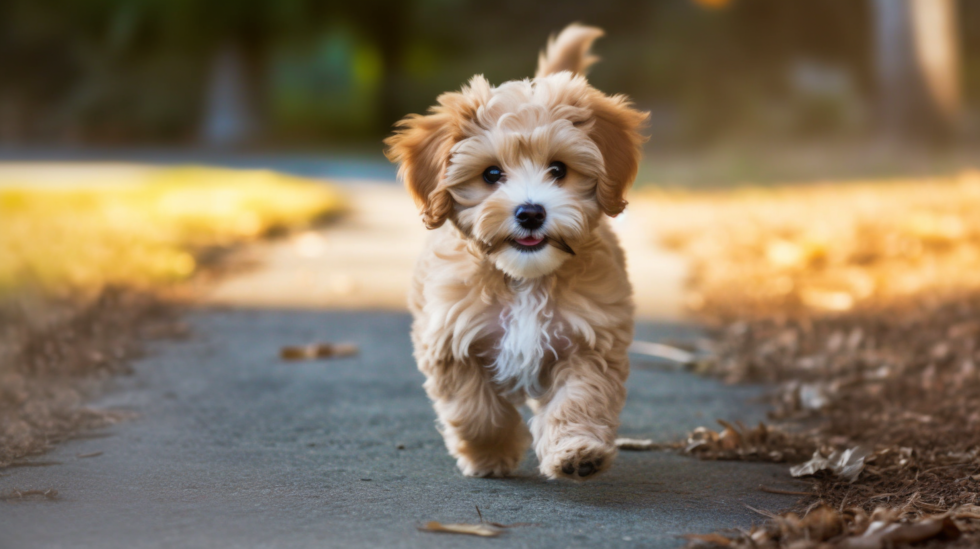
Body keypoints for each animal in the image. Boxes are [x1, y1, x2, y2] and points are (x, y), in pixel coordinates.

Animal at [384, 24, 652, 480]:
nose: (530, 213)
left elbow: (580, 398)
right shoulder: (452, 339)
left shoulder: (590, 339)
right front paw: (490, 454)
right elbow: (476, 409)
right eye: (492, 174)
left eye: (559, 169)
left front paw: (577, 452)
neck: (524, 280)